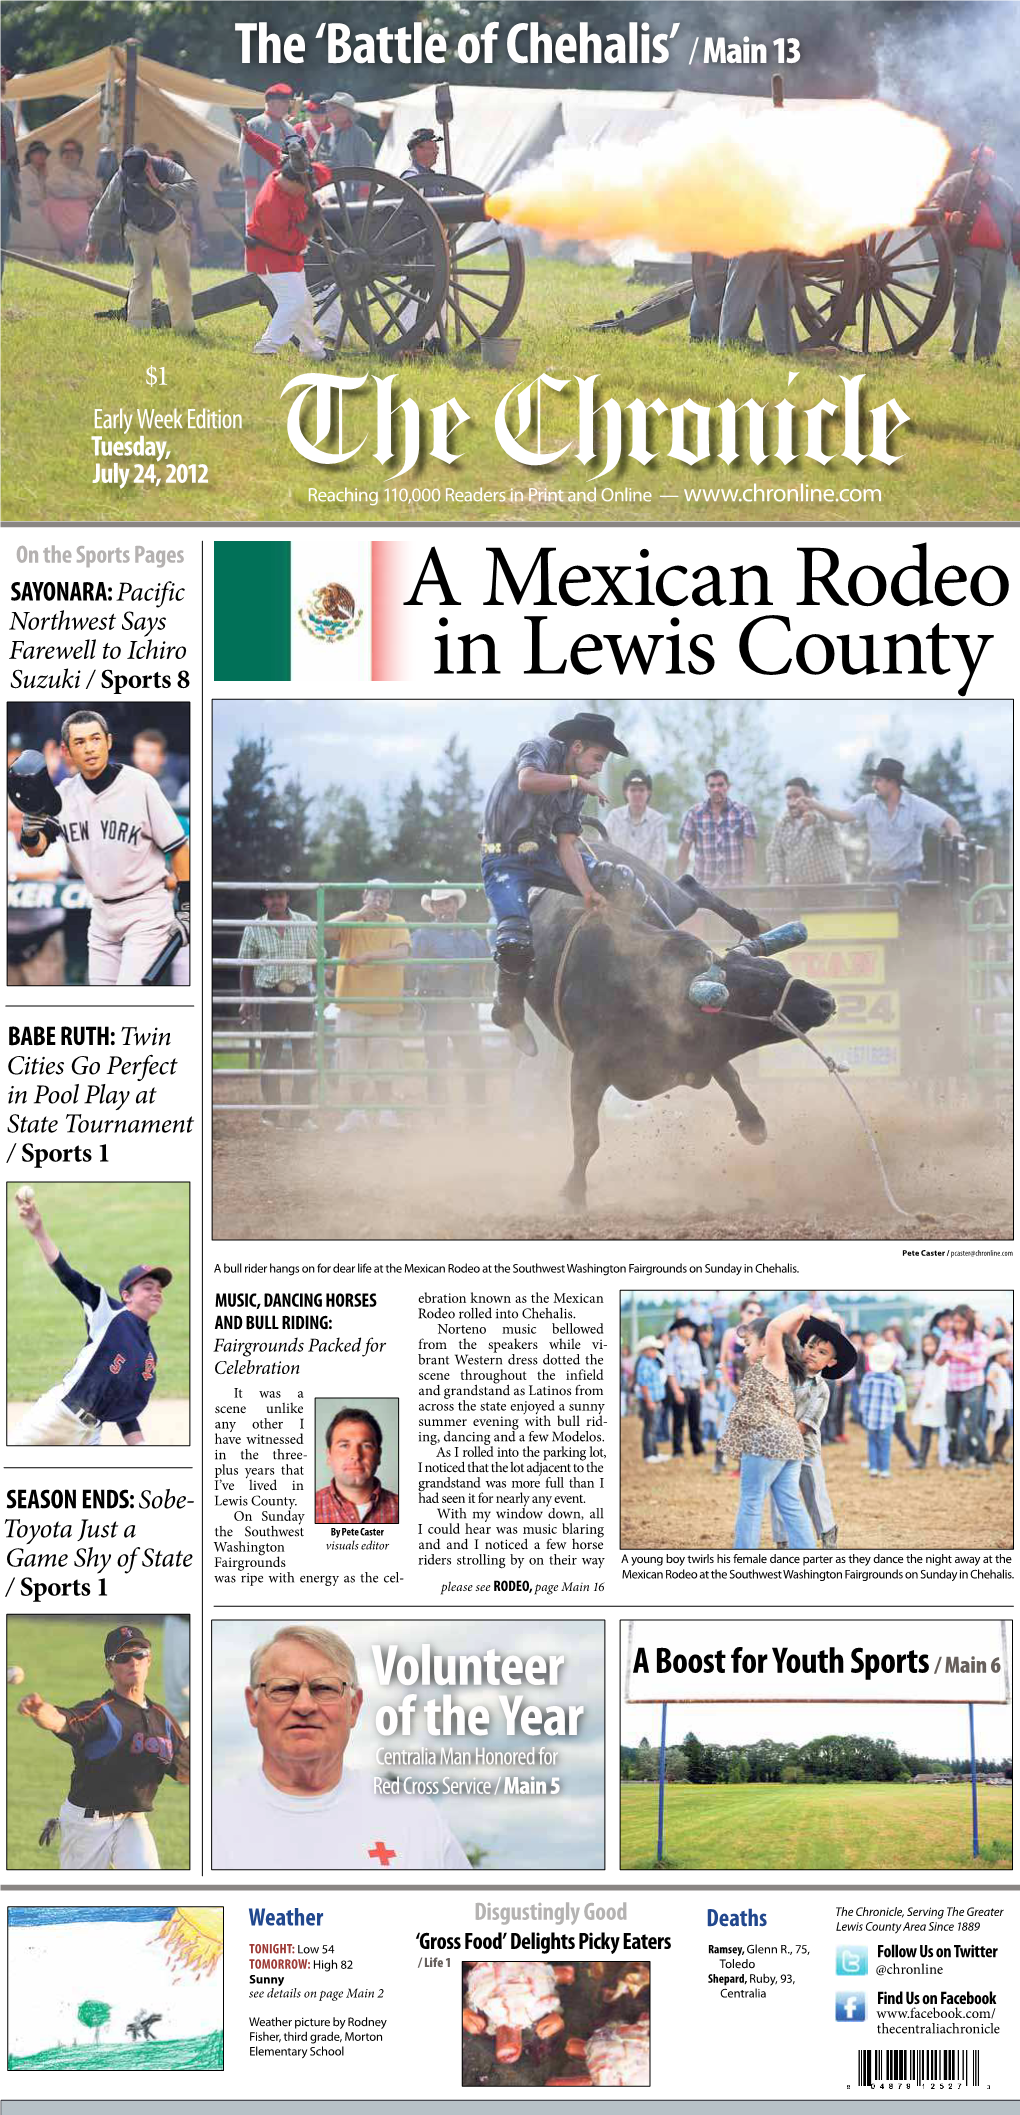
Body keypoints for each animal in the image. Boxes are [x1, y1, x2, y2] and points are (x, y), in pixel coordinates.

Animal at [526, 841, 838, 1209]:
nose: (825, 1000)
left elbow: (729, 1076)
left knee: (690, 885)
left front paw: (753, 1123)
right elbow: (587, 1138)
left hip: (667, 897)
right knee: (689, 884)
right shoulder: (587, 1067)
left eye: (780, 970)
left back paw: (750, 921)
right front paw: (574, 1193)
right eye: (761, 990)